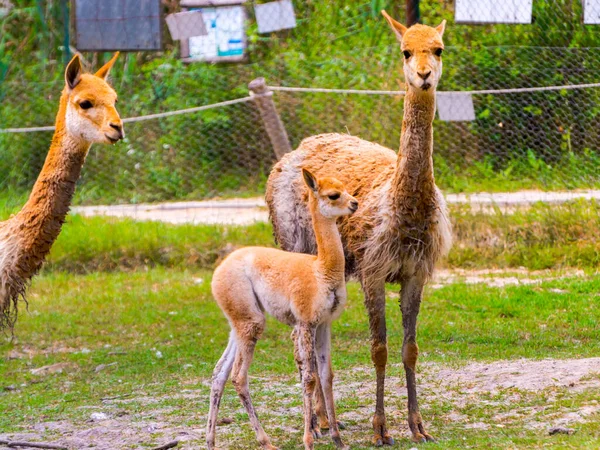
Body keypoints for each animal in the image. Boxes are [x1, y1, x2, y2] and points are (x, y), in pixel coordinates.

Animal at [206, 170, 356, 450]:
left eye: (346, 188)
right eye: (333, 195)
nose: (355, 204)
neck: (322, 270)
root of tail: (218, 271)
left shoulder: (324, 323)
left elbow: (327, 375)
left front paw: (337, 439)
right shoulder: (306, 321)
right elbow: (309, 378)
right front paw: (309, 438)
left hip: (239, 320)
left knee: (219, 372)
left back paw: (210, 441)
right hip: (250, 320)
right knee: (238, 377)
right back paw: (265, 440)